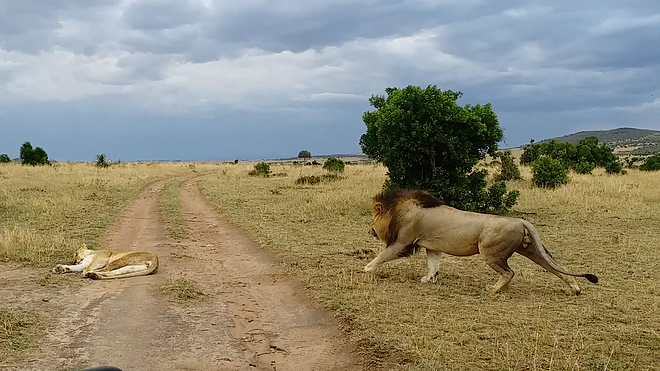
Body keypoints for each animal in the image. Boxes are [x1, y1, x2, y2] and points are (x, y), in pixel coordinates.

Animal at [364, 189, 600, 296]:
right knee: (555, 268)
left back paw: (494, 289)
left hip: (490, 252)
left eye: (373, 219)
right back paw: (575, 288)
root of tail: (520, 220)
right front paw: (428, 279)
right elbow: (434, 265)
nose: (370, 230)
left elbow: (382, 255)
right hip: (530, 249)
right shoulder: (432, 247)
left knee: (509, 272)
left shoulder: (403, 241)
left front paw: (366, 269)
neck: (400, 211)